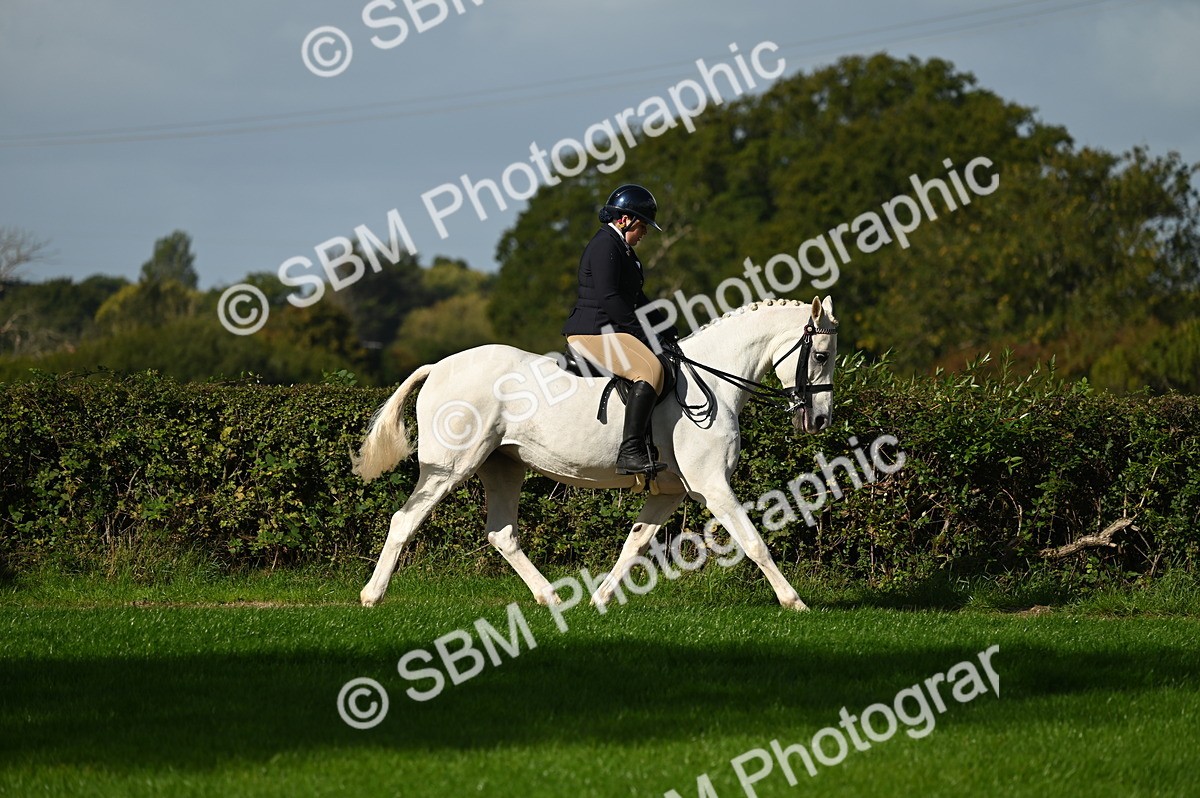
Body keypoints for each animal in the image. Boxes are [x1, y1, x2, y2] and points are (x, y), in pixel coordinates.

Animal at [352, 296, 838, 611]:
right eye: (820, 355)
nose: (820, 420)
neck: (713, 381)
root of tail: (439, 366)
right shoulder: (712, 486)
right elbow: (754, 542)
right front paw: (794, 602)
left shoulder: (670, 491)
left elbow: (635, 541)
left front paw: (601, 598)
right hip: (451, 467)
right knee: (405, 520)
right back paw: (372, 596)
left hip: (503, 466)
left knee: (502, 534)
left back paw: (550, 597)